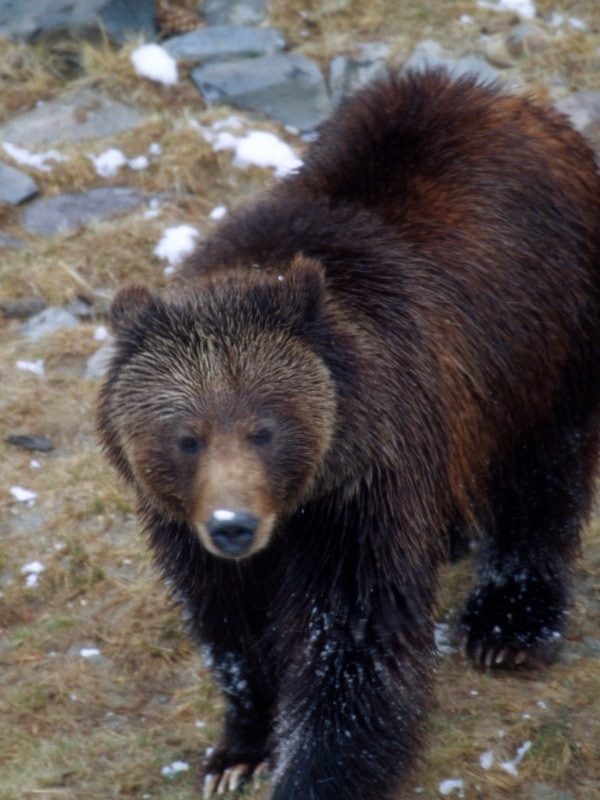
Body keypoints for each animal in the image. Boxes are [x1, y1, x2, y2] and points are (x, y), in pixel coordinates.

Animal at [97, 72, 600, 796]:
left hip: (543, 342)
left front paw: (317, 773)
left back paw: (508, 623)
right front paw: (238, 750)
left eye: (265, 429)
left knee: (542, 473)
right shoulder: (181, 521)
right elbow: (231, 623)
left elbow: (351, 637)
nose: (232, 526)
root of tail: (506, 97)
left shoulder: (360, 491)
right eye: (186, 436)